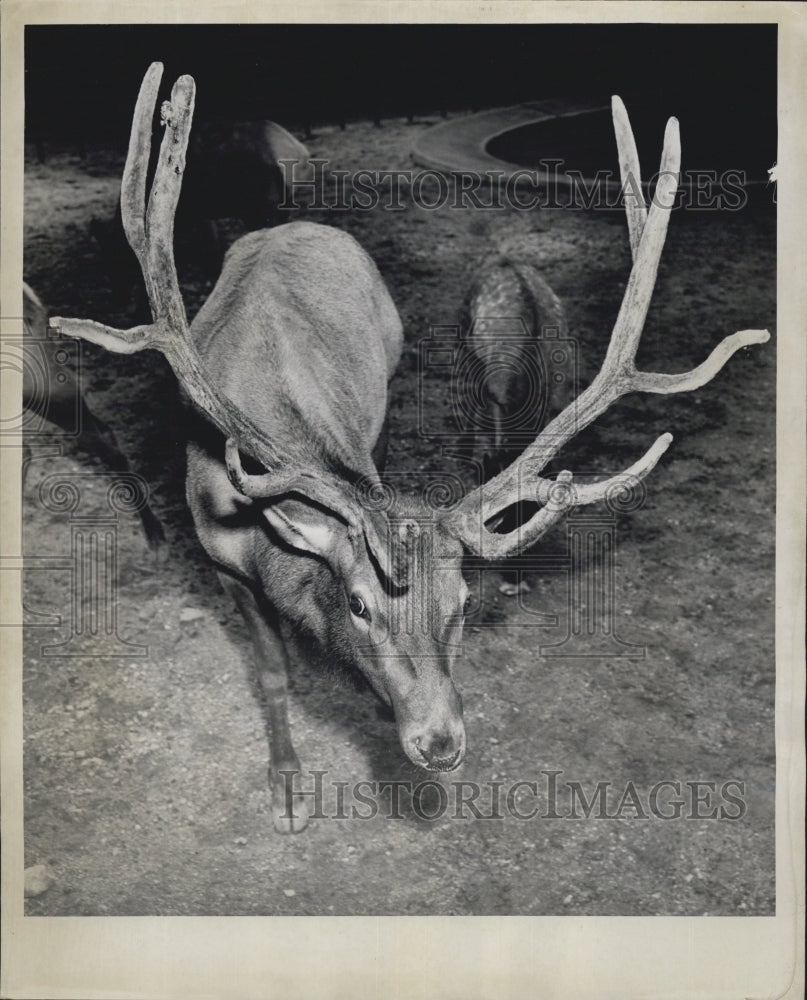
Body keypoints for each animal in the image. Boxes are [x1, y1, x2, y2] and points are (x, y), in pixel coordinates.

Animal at [50, 65, 769, 833]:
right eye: (359, 604)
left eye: (462, 600)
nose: (441, 742)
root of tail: (294, 222)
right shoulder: (220, 560)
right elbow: (270, 673)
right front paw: (287, 786)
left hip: (390, 376)